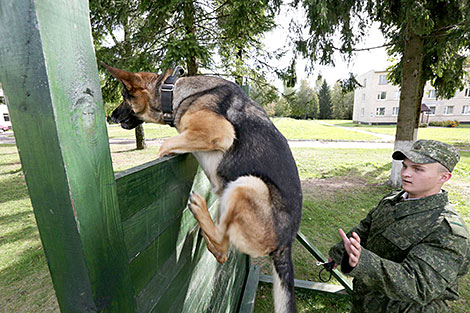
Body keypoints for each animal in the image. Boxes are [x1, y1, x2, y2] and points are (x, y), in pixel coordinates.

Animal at [103, 63, 302, 312]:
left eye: (123, 97)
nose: (110, 115)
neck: (171, 91)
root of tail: (286, 243)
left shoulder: (220, 133)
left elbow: (165, 144)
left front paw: (162, 154)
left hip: (248, 184)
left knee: (223, 245)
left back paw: (200, 211)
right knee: (222, 251)